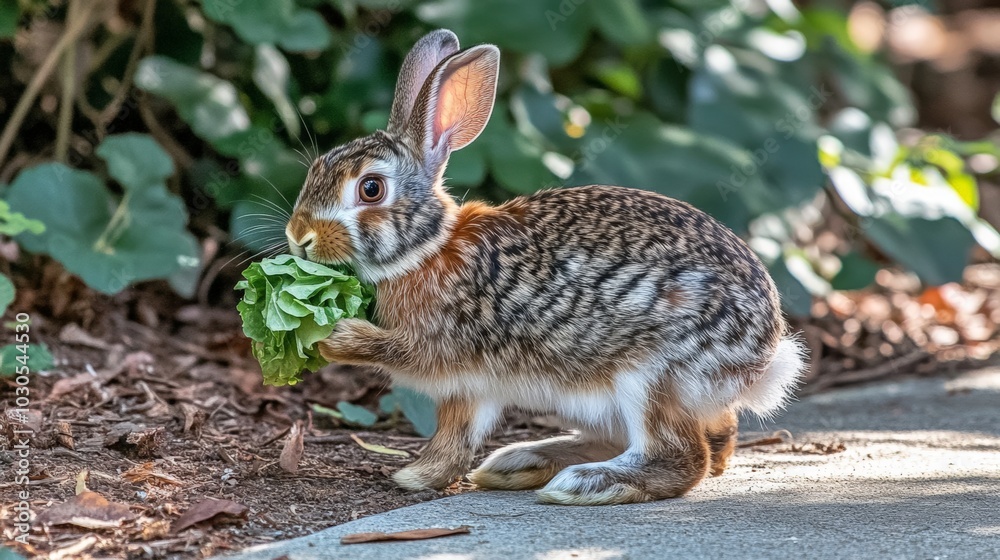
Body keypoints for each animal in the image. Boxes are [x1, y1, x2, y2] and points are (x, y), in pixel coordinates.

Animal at [284, 29, 807, 505]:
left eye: (370, 189)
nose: (298, 237)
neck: (429, 247)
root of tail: (763, 355)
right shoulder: (470, 388)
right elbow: (456, 438)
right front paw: (422, 476)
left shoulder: (446, 350)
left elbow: (430, 398)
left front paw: (337, 341)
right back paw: (520, 462)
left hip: (649, 375)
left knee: (683, 456)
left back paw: (586, 483)